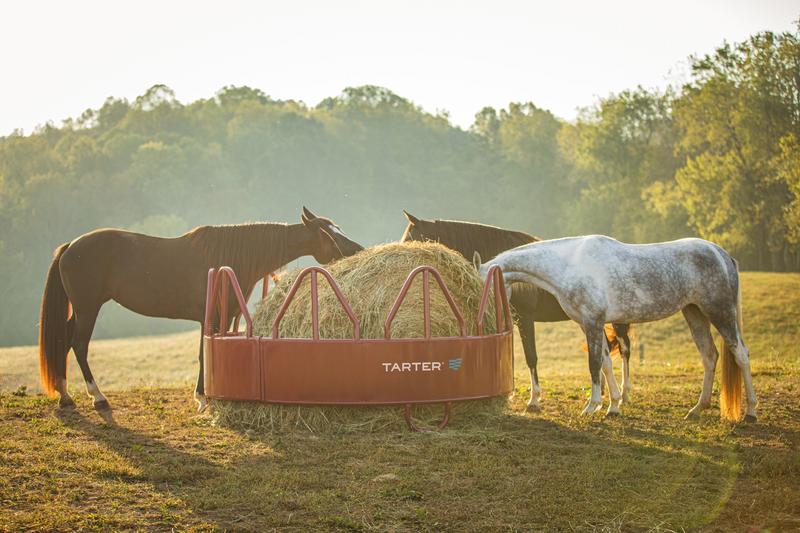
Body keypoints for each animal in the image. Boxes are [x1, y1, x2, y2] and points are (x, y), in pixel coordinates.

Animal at [39, 208, 360, 412]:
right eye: (328, 234)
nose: (357, 249)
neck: (231, 257)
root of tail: (71, 246)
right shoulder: (212, 316)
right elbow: (203, 352)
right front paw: (202, 398)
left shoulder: (224, 318)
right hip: (88, 308)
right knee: (79, 345)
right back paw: (98, 397)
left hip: (81, 310)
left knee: (64, 343)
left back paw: (65, 395)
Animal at [400, 212, 632, 412]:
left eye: (412, 237)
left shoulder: (525, 318)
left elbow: (531, 357)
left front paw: (534, 400)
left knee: (624, 349)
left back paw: (623, 396)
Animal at [482, 236, 756, 420]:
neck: (570, 265)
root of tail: (721, 254)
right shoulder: (589, 325)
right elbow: (605, 362)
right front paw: (612, 406)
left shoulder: (592, 323)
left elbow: (594, 364)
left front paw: (591, 406)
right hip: (695, 313)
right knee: (709, 356)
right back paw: (697, 408)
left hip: (720, 313)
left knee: (741, 355)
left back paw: (751, 412)